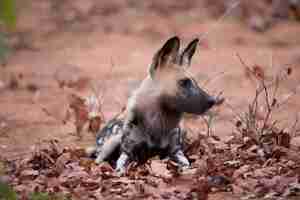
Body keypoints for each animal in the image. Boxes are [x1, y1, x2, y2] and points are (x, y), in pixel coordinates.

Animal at [86, 36, 220, 175]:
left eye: (195, 82)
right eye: (183, 82)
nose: (212, 100)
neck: (157, 123)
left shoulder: (175, 152)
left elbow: (186, 164)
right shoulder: (127, 153)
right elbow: (121, 167)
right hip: (112, 142)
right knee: (98, 159)